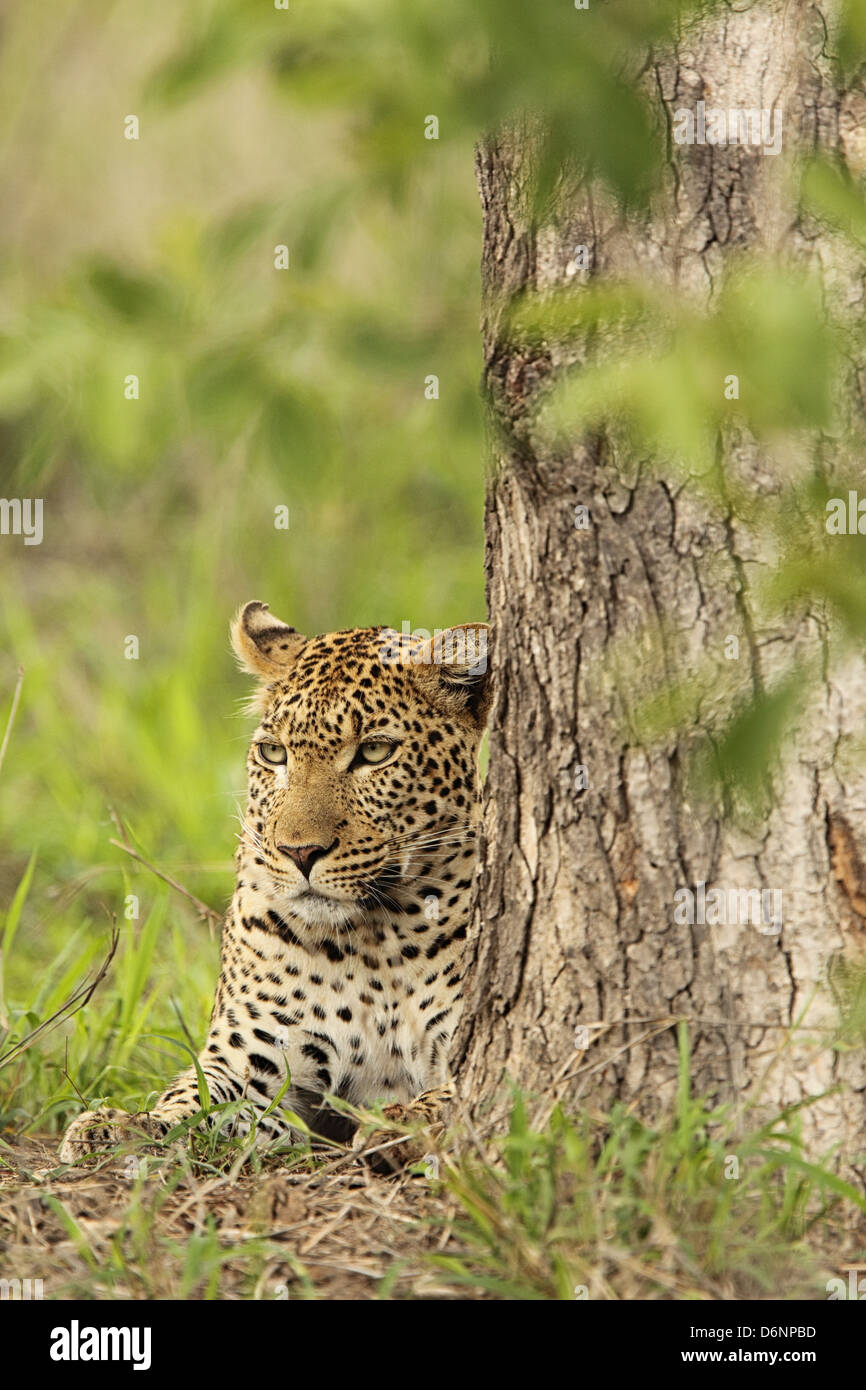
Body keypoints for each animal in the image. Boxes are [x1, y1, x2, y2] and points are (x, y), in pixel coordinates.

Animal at [60, 601, 491, 1164]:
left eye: (375, 752)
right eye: (274, 754)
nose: (298, 851)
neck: (376, 941)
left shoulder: (458, 1042)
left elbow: (450, 1096)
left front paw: (397, 1123)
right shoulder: (255, 1054)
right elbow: (194, 1099)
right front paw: (121, 1126)